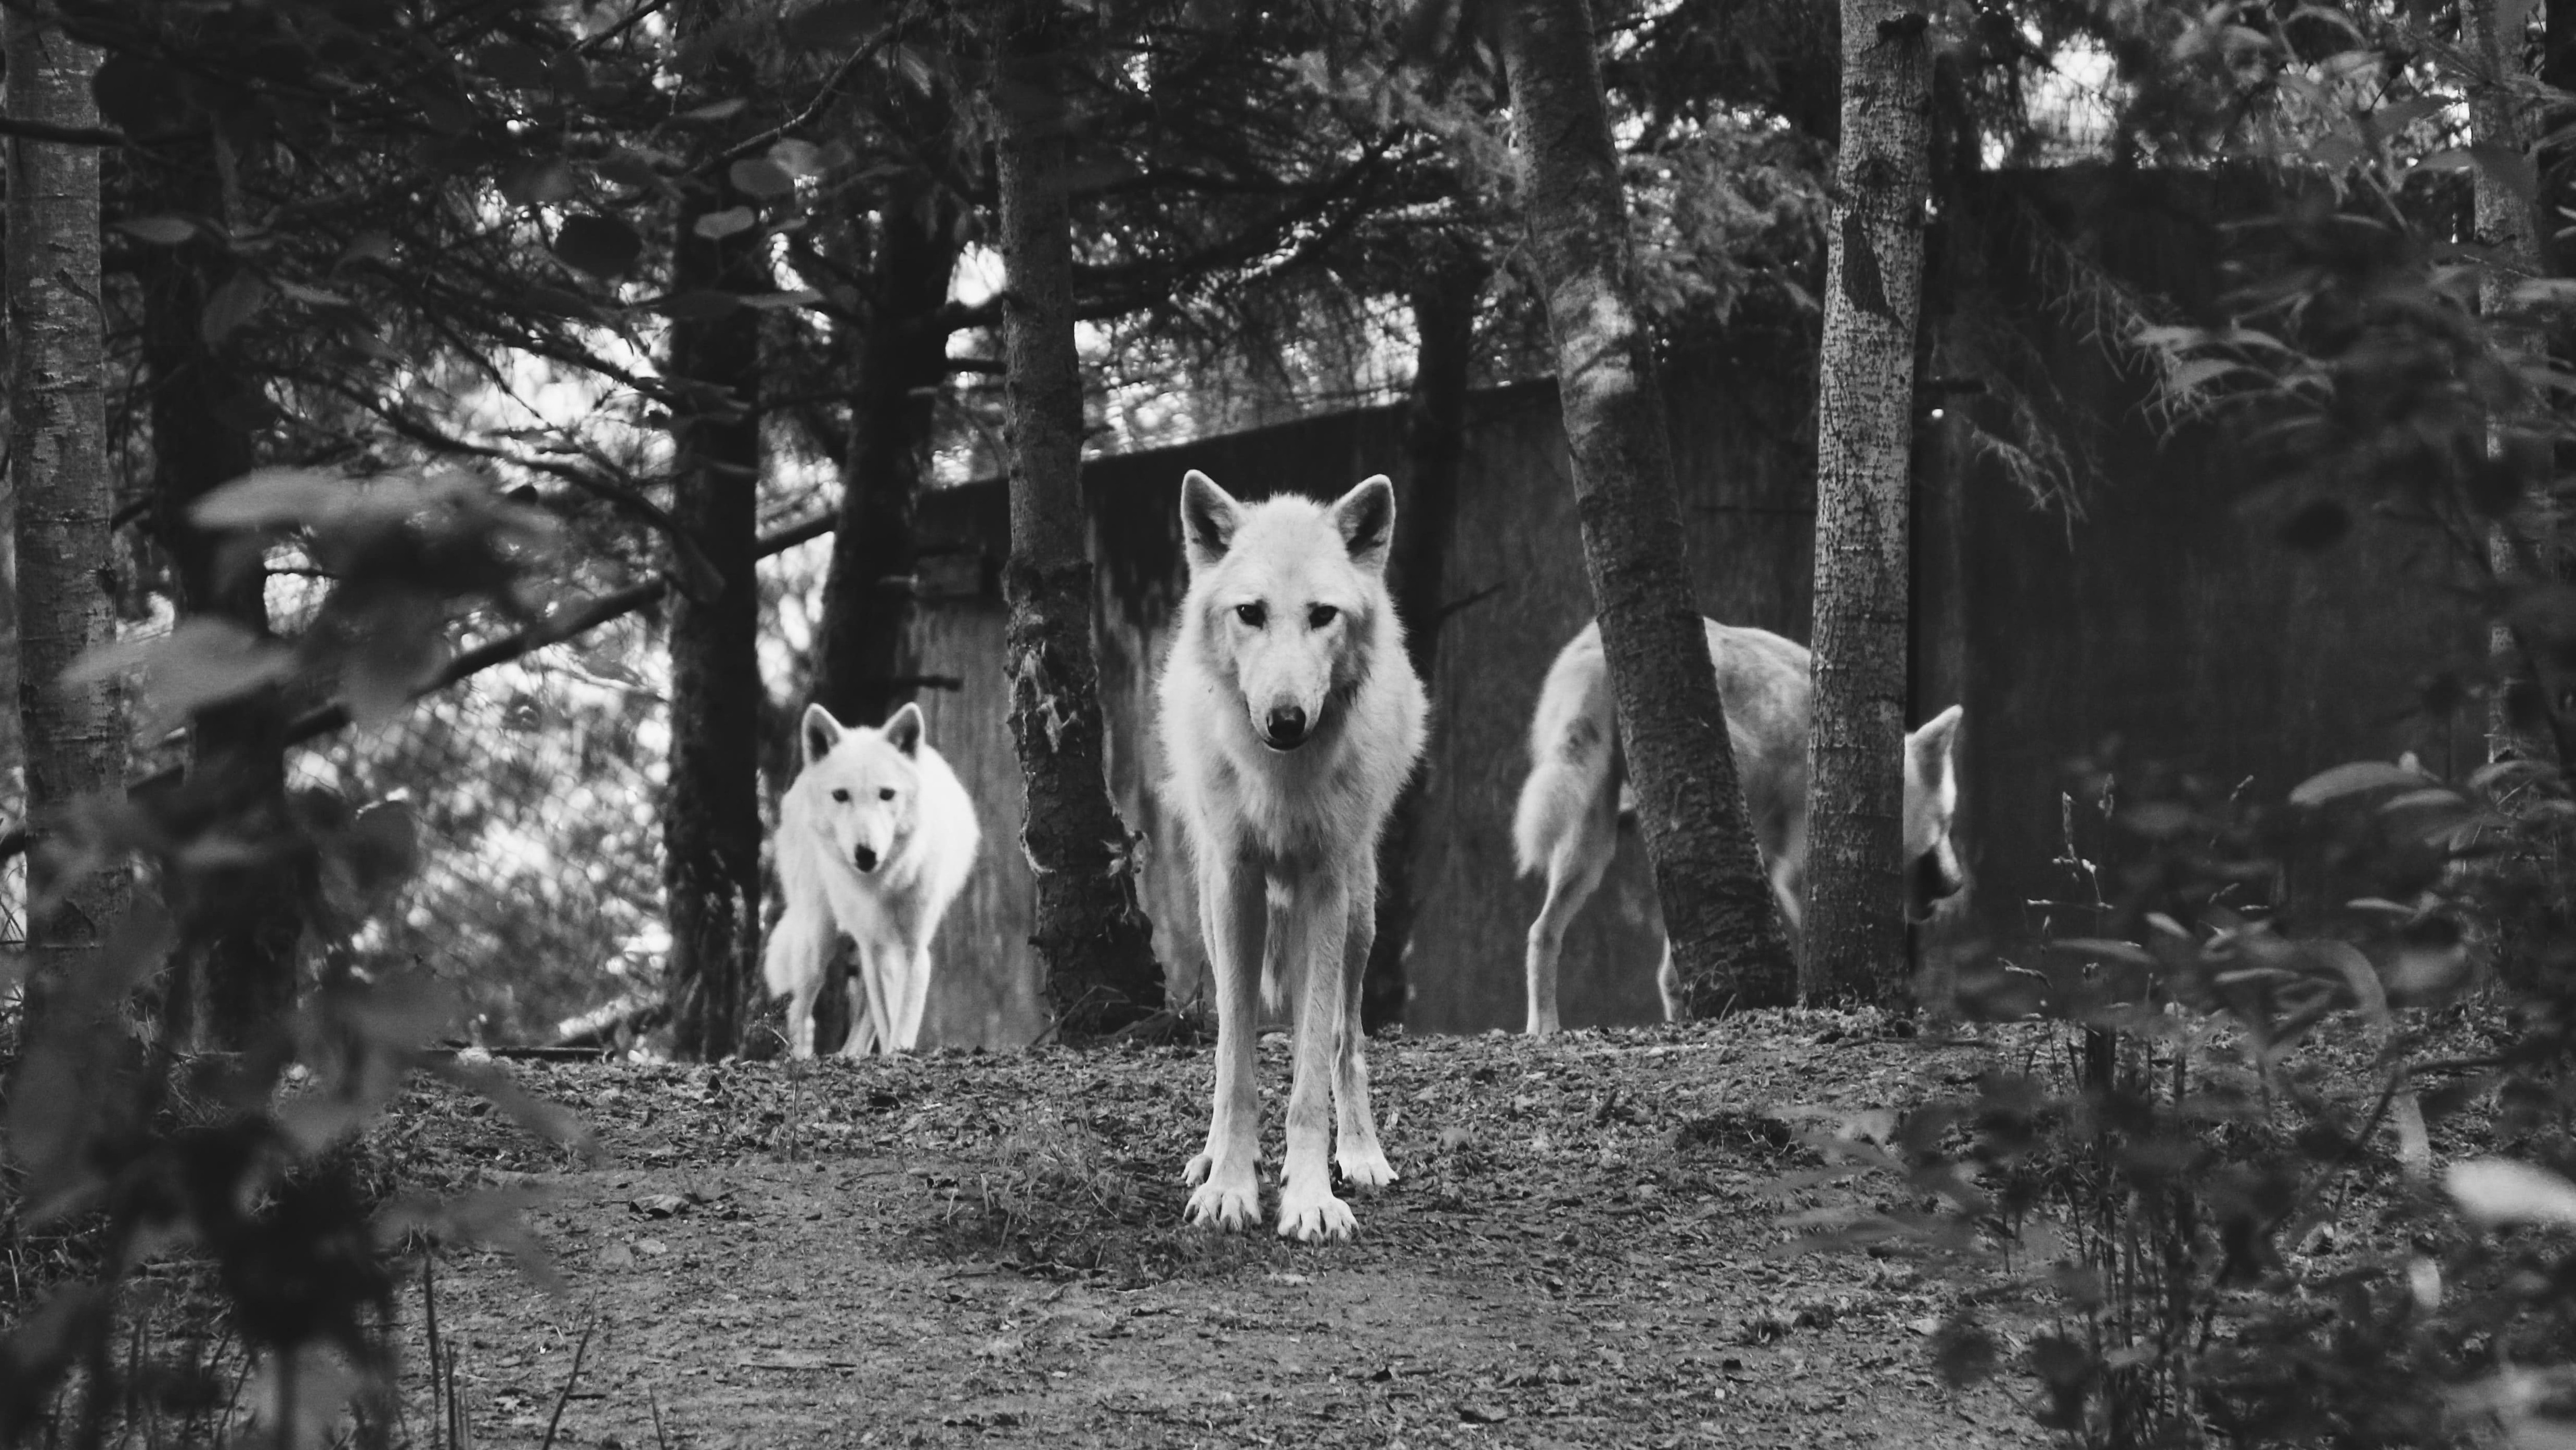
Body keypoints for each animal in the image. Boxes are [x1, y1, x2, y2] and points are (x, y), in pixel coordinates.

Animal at [763, 701, 980, 1059]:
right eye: (841, 795)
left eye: (887, 794)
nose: (866, 853)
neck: (884, 884)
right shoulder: (872, 948)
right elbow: (885, 1016)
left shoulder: (913, 950)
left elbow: (901, 1019)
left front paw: (899, 1052)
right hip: (817, 941)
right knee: (800, 1011)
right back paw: (799, 1058)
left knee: (859, 1024)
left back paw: (851, 1054)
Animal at [1155, 469, 1428, 1243]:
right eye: (1250, 613)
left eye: (1322, 615)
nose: (1284, 720)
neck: (1281, 777)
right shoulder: (1237, 886)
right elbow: (1234, 1065)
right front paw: (1227, 1187)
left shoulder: (1326, 889)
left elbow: (1309, 1075)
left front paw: (1309, 1198)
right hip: (1213, 909)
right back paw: (1215, 1157)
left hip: (1360, 913)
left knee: (1345, 1040)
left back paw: (1361, 1154)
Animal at [1512, 618, 1965, 1034]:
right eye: (1945, 822)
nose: (1956, 883)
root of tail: (1596, 647)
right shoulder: (1794, 871)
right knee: (1656, 966)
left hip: (1592, 843)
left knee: (1543, 933)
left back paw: (1545, 1029)